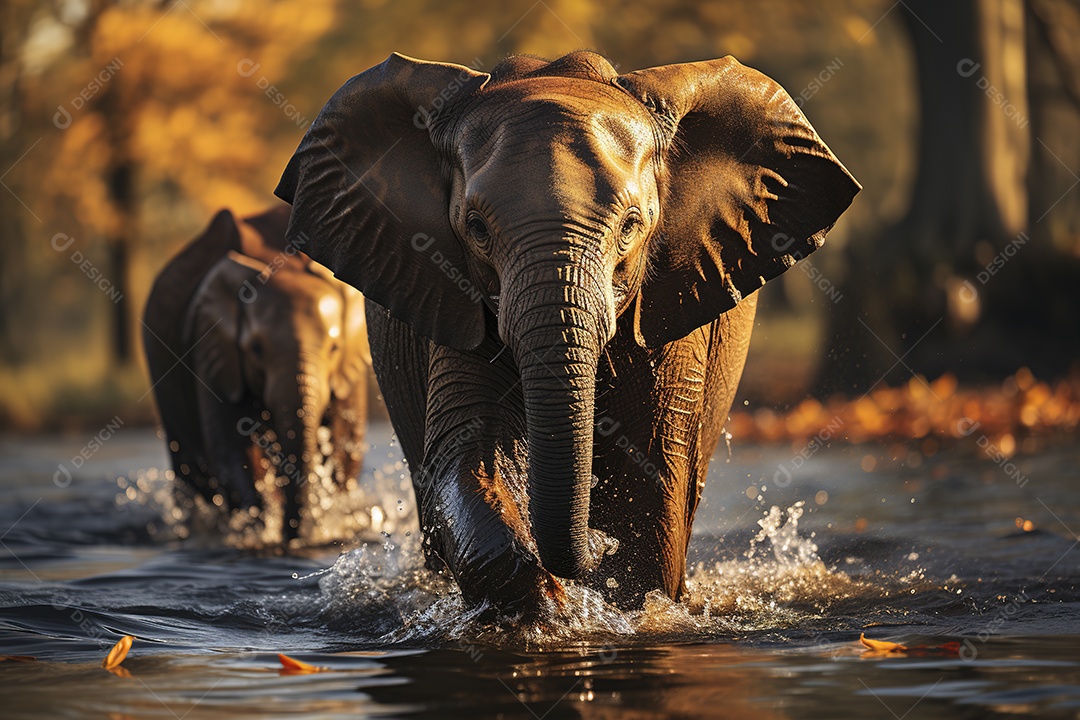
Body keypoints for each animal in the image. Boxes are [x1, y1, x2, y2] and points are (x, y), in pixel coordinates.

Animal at [142, 205, 371, 541]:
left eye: (334, 348)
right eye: (256, 349)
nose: (294, 537)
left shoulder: (349, 374)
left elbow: (345, 448)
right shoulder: (209, 348)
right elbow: (232, 451)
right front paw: (263, 530)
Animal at [275, 51, 859, 610]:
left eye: (631, 225)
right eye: (476, 229)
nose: (590, 548)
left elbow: (650, 476)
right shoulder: (456, 294)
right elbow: (469, 454)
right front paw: (554, 614)